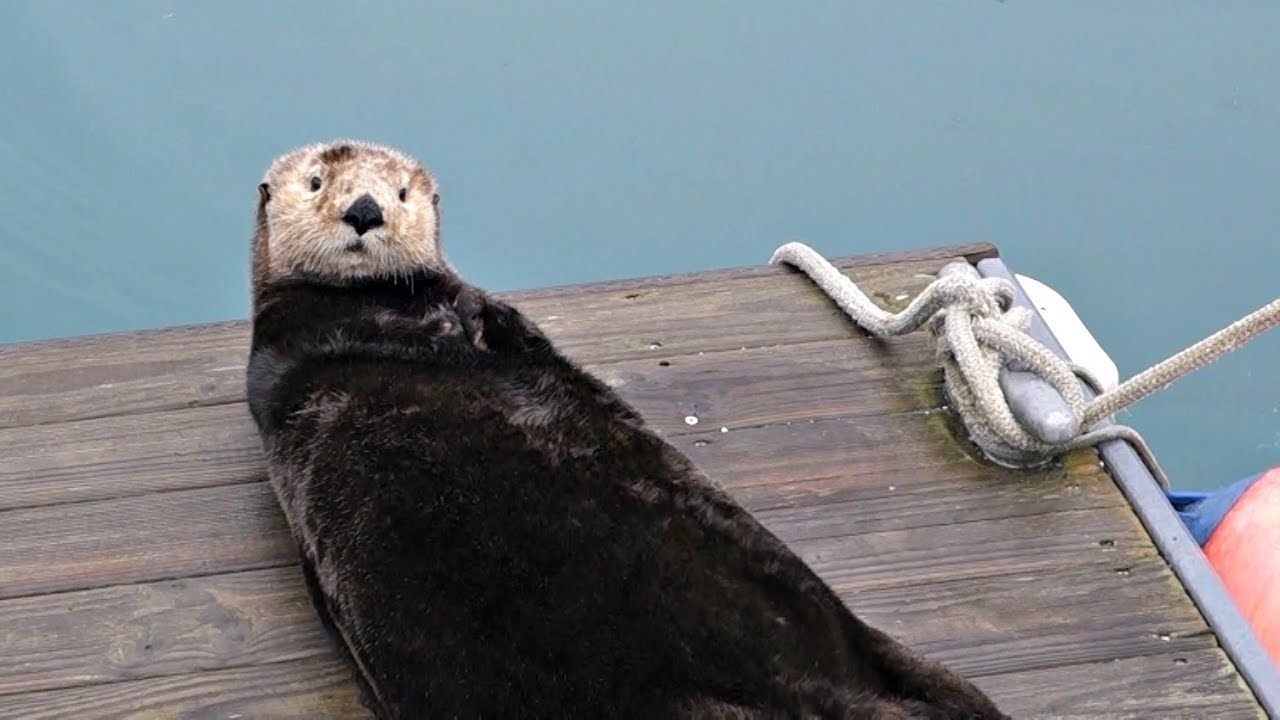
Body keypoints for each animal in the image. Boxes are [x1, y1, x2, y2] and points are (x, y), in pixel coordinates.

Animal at [245, 139, 1008, 719]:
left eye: (401, 192)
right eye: (317, 181)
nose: (365, 211)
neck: (379, 301)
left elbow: (494, 323)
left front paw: (469, 317)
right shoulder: (296, 343)